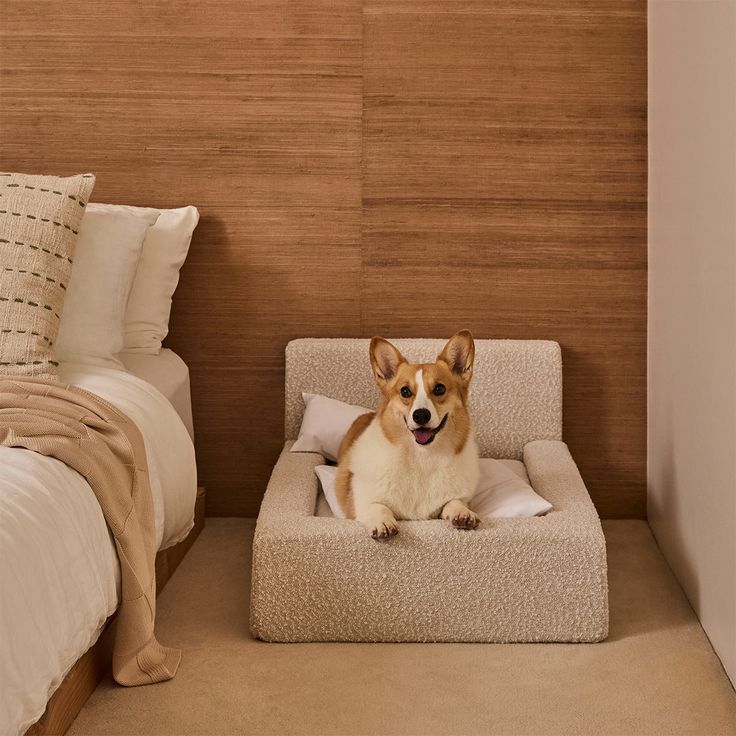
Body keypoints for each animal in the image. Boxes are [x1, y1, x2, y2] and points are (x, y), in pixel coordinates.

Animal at [334, 332, 484, 540]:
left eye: (439, 389)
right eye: (405, 391)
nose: (420, 415)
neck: (421, 456)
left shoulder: (456, 498)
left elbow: (453, 502)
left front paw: (462, 513)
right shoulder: (360, 502)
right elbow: (378, 507)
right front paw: (383, 522)